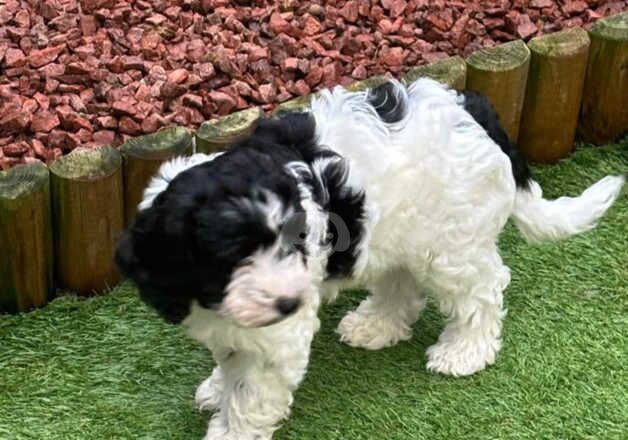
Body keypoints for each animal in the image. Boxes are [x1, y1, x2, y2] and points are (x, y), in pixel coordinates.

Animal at [115, 79, 624, 440]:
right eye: (232, 254)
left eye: (295, 240)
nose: (290, 303)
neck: (207, 295)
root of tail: (476, 113)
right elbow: (230, 361)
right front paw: (217, 388)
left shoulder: (278, 339)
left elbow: (251, 390)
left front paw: (229, 424)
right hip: (399, 233)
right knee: (403, 281)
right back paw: (376, 326)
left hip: (450, 243)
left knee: (482, 289)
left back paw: (465, 351)